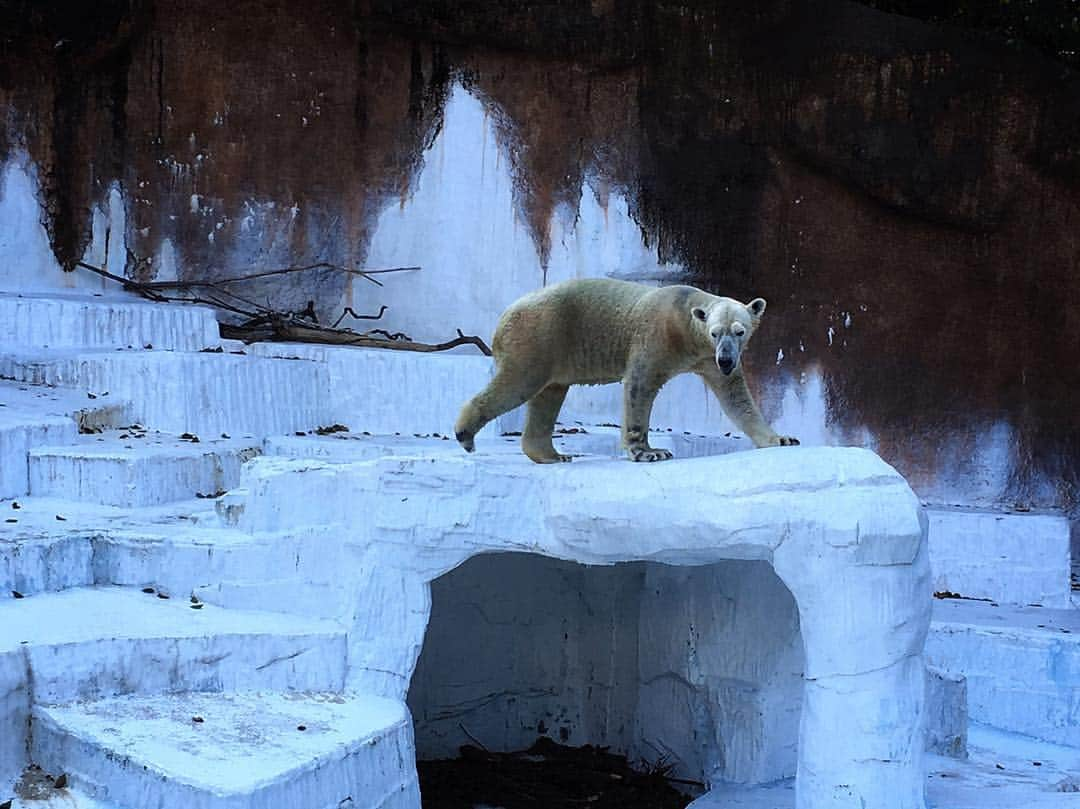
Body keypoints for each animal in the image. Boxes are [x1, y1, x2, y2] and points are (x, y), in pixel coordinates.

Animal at [451, 278, 799, 464]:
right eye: (715, 332)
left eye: (740, 331)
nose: (726, 361)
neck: (685, 321)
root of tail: (505, 315)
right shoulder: (657, 337)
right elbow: (640, 385)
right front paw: (649, 452)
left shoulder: (706, 360)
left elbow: (736, 398)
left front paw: (781, 439)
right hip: (539, 334)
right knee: (519, 383)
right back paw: (465, 434)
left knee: (549, 394)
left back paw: (552, 455)